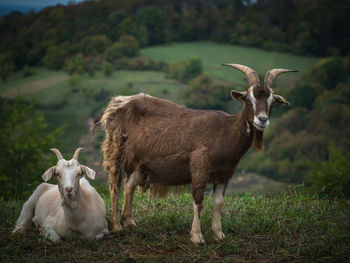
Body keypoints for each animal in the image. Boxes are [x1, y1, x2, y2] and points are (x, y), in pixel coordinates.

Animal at [93, 64, 296, 245]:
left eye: (272, 101)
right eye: (247, 99)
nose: (262, 120)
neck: (225, 132)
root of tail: (118, 103)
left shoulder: (225, 175)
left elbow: (219, 202)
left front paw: (219, 234)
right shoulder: (199, 167)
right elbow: (199, 201)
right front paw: (197, 237)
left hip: (139, 161)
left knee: (130, 185)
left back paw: (130, 222)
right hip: (116, 149)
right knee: (115, 185)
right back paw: (117, 225)